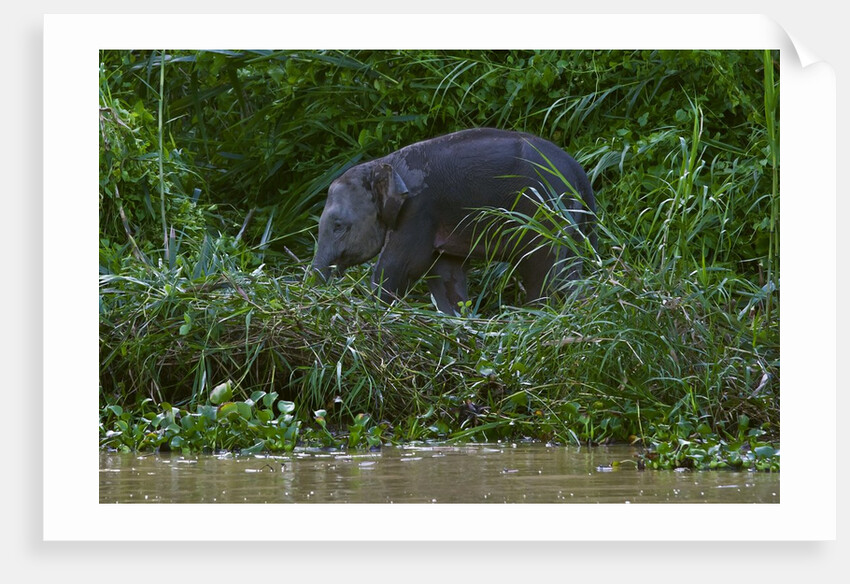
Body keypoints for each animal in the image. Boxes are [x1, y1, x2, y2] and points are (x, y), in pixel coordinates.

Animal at [311, 128, 596, 314]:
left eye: (338, 226)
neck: (383, 163)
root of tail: (579, 172)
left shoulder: (418, 209)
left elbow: (401, 265)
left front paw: (377, 309)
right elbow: (445, 272)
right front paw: (457, 318)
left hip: (545, 212)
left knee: (543, 268)